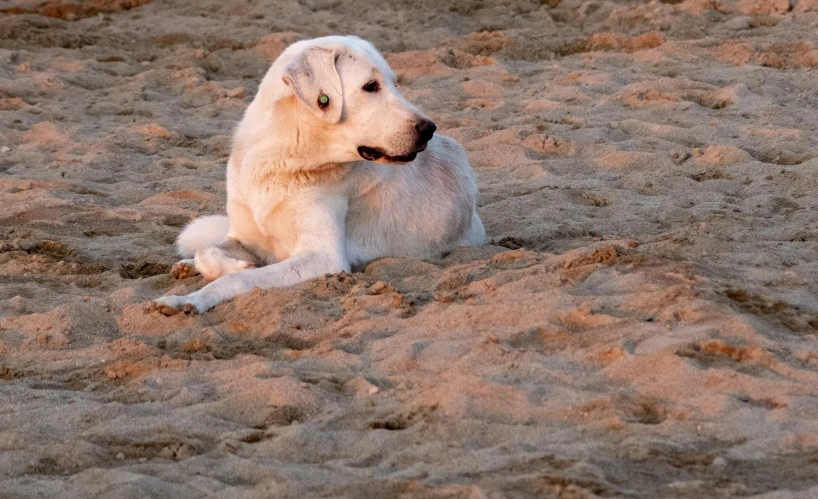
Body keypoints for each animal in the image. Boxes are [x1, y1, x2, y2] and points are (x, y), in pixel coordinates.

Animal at [151, 36, 484, 316]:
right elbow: (208, 252)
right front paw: (235, 264)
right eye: (370, 86)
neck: (284, 159)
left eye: (395, 84)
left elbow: (240, 279)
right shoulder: (244, 237)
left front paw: (191, 298)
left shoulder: (323, 257)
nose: (429, 129)